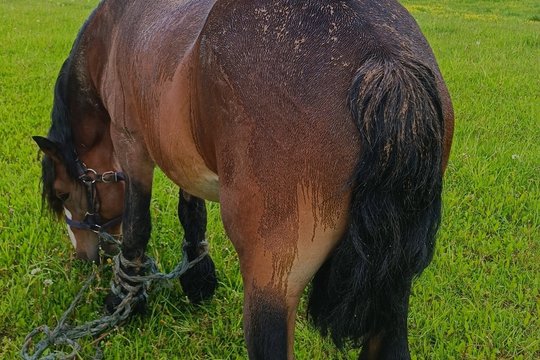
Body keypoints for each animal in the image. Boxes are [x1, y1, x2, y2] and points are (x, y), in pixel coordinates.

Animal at [33, 0, 454, 358]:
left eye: (63, 193)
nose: (84, 254)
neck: (111, 32)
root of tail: (383, 58)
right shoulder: (182, 157)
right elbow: (192, 212)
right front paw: (198, 280)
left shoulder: (131, 145)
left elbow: (138, 228)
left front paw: (124, 299)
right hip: (392, 292)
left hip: (271, 287)